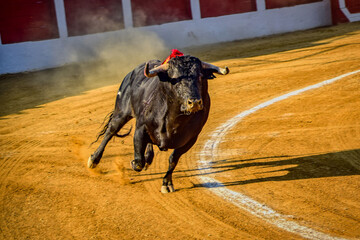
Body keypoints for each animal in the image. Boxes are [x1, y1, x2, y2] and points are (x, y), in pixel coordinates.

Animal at [87, 54, 229, 193]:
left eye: (200, 76)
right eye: (175, 79)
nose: (194, 102)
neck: (175, 120)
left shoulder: (191, 139)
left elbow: (173, 160)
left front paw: (167, 183)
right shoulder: (140, 128)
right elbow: (138, 162)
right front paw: (134, 163)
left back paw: (149, 158)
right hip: (121, 112)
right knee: (110, 131)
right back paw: (93, 160)